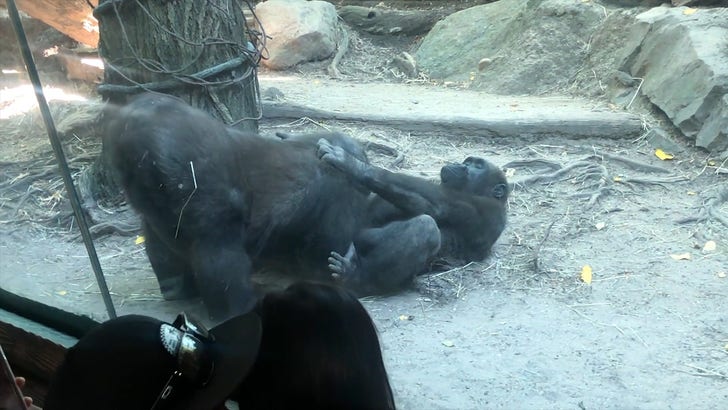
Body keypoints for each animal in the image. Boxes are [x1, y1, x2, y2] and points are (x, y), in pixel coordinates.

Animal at [316, 139, 510, 294]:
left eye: (478, 166)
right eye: (467, 162)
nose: (459, 164)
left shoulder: (483, 207)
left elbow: (433, 206)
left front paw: (350, 163)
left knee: (426, 227)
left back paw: (357, 279)